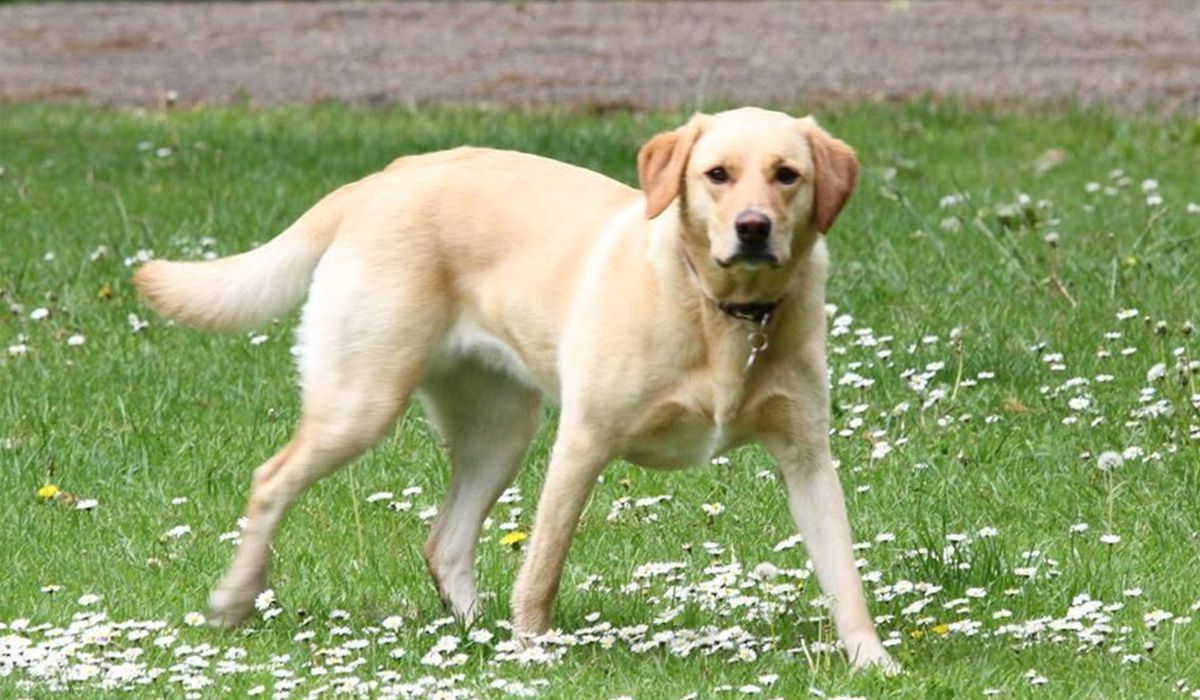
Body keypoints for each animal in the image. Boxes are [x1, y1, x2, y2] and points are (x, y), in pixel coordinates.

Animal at [136, 106, 897, 672]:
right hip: (363, 404)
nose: (753, 227)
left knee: (444, 541)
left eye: (787, 175)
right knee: (272, 479)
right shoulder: (583, 443)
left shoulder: (808, 460)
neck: (726, 314)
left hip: (500, 433)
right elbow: (543, 566)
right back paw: (237, 599)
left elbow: (844, 574)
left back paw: (476, 633)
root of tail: (386, 176)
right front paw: (533, 652)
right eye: (717, 175)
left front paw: (871, 662)